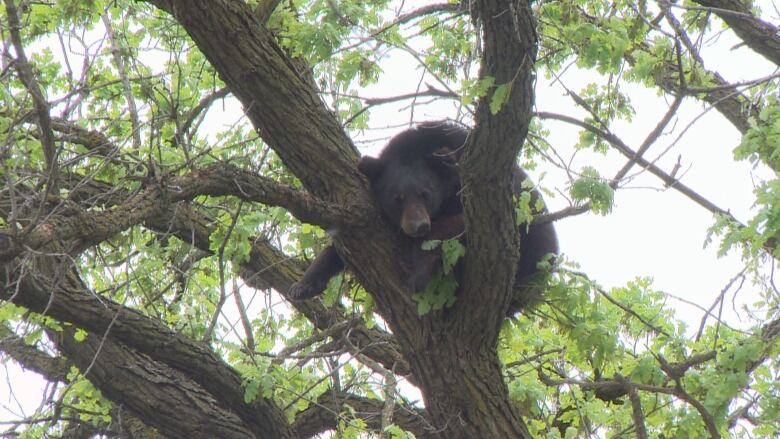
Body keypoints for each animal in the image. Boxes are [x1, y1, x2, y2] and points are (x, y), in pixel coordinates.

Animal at [290, 120, 556, 312]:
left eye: (425, 194)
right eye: (397, 199)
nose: (417, 226)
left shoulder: (471, 191)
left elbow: (452, 227)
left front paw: (418, 274)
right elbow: (345, 242)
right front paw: (304, 285)